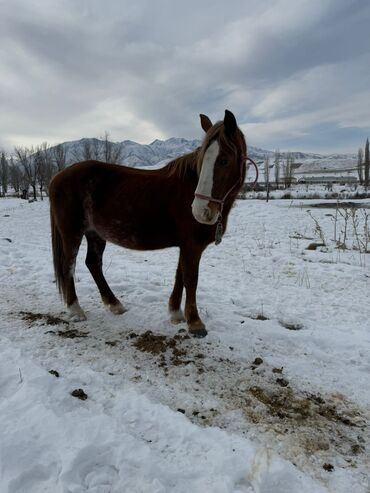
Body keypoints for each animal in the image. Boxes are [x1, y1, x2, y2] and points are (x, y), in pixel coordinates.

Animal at [48, 109, 246, 336]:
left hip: (95, 233)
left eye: (224, 160)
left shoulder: (185, 245)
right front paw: (195, 322)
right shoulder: (192, 245)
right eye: (203, 159)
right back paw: (76, 309)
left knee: (93, 264)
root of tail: (56, 178)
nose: (200, 210)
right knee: (68, 265)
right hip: (72, 232)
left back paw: (115, 304)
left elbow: (180, 275)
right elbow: (191, 279)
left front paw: (175, 313)